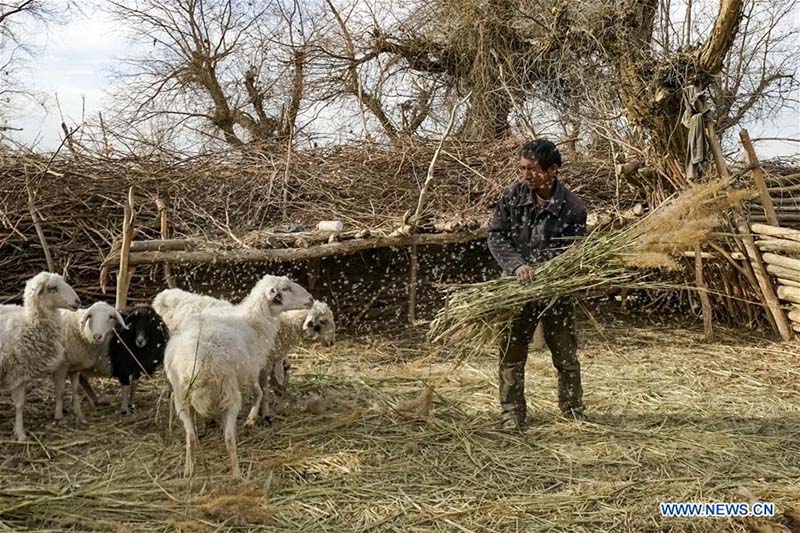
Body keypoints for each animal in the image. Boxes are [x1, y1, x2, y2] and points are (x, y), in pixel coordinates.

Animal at [0, 270, 80, 440]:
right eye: (52, 289)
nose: (78, 301)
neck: (30, 324)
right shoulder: (17, 371)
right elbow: (20, 404)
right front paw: (21, 434)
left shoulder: (21, 373)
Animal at [164, 272, 310, 476]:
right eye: (286, 288)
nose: (311, 299)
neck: (255, 322)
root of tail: (196, 366)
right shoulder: (251, 370)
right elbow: (259, 393)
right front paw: (251, 420)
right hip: (229, 394)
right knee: (228, 438)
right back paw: (237, 474)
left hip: (182, 398)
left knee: (191, 436)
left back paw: (188, 470)